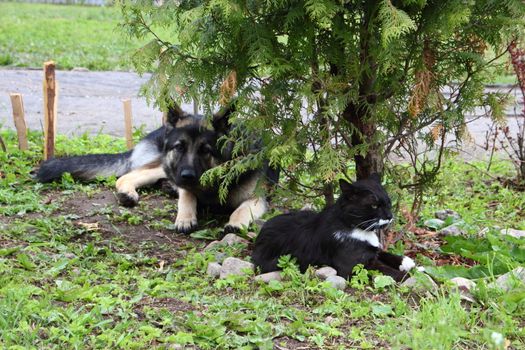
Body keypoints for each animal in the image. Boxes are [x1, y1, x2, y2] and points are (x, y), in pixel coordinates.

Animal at [34, 104, 276, 235]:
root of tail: (160, 129)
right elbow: (187, 196)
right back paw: (129, 192)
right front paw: (185, 217)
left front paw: (235, 222)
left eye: (205, 150)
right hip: (162, 165)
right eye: (180, 147)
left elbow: (241, 209)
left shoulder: (258, 199)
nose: (187, 175)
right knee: (127, 176)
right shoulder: (184, 180)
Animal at [252, 174, 416, 282]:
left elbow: (382, 252)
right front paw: (407, 276)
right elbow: (383, 269)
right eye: (374, 205)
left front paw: (407, 262)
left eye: (388, 203)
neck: (354, 228)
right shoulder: (351, 268)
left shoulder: (371, 250)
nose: (389, 216)